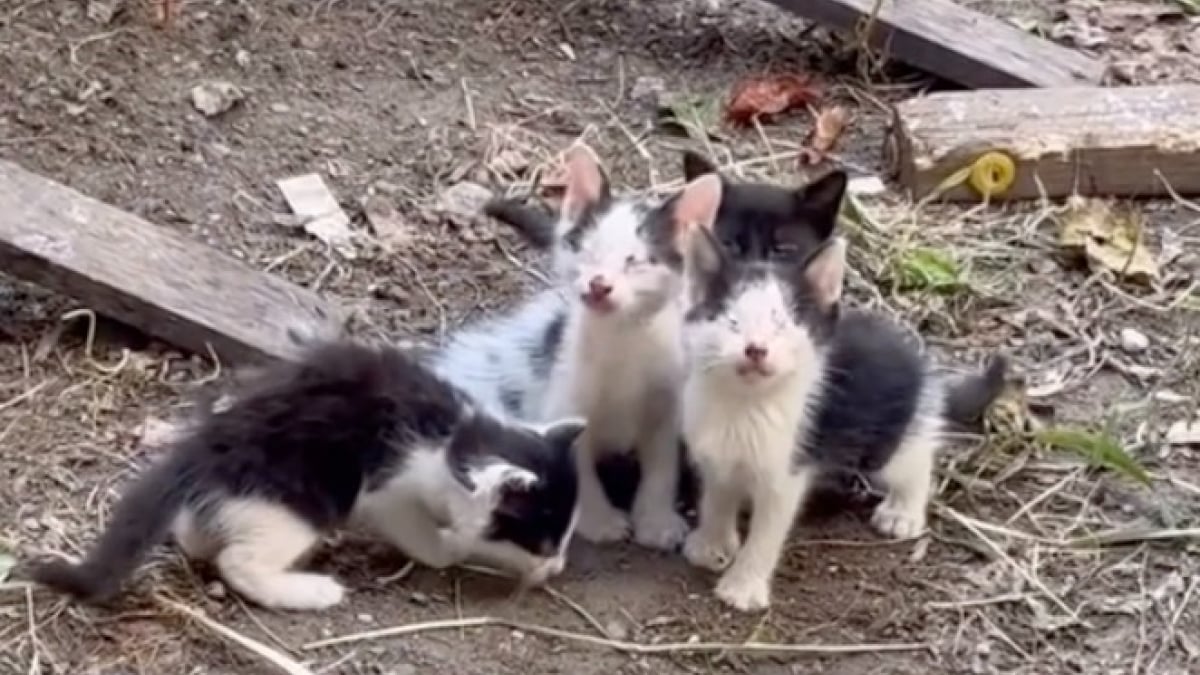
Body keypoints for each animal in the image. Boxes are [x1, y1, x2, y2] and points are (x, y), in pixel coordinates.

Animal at [28, 338, 585, 607]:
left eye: (563, 541)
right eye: (541, 543)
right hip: (300, 503)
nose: (557, 568)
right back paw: (311, 591)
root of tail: (209, 441)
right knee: (240, 562)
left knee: (202, 530)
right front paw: (449, 547)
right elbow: (430, 541)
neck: (458, 434)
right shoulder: (391, 492)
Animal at [434, 141, 720, 547]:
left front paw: (656, 521)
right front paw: (599, 521)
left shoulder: (667, 403)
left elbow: (662, 464)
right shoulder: (563, 401)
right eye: (586, 250)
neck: (623, 342)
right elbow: (576, 468)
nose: (599, 284)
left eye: (636, 261)